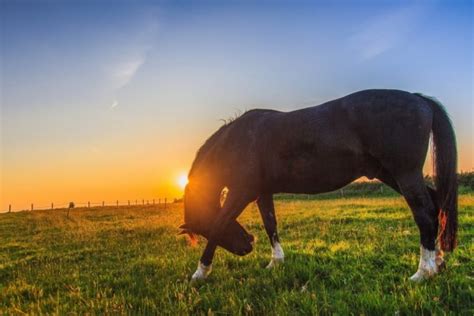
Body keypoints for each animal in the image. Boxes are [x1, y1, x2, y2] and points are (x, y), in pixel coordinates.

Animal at [180, 88, 458, 282]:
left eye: (202, 229)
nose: (248, 244)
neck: (237, 141)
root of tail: (419, 100)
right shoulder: (263, 193)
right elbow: (271, 225)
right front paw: (276, 262)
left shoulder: (241, 193)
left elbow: (220, 224)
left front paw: (200, 273)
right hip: (391, 174)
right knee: (435, 205)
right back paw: (438, 263)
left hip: (405, 175)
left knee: (424, 214)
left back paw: (423, 272)